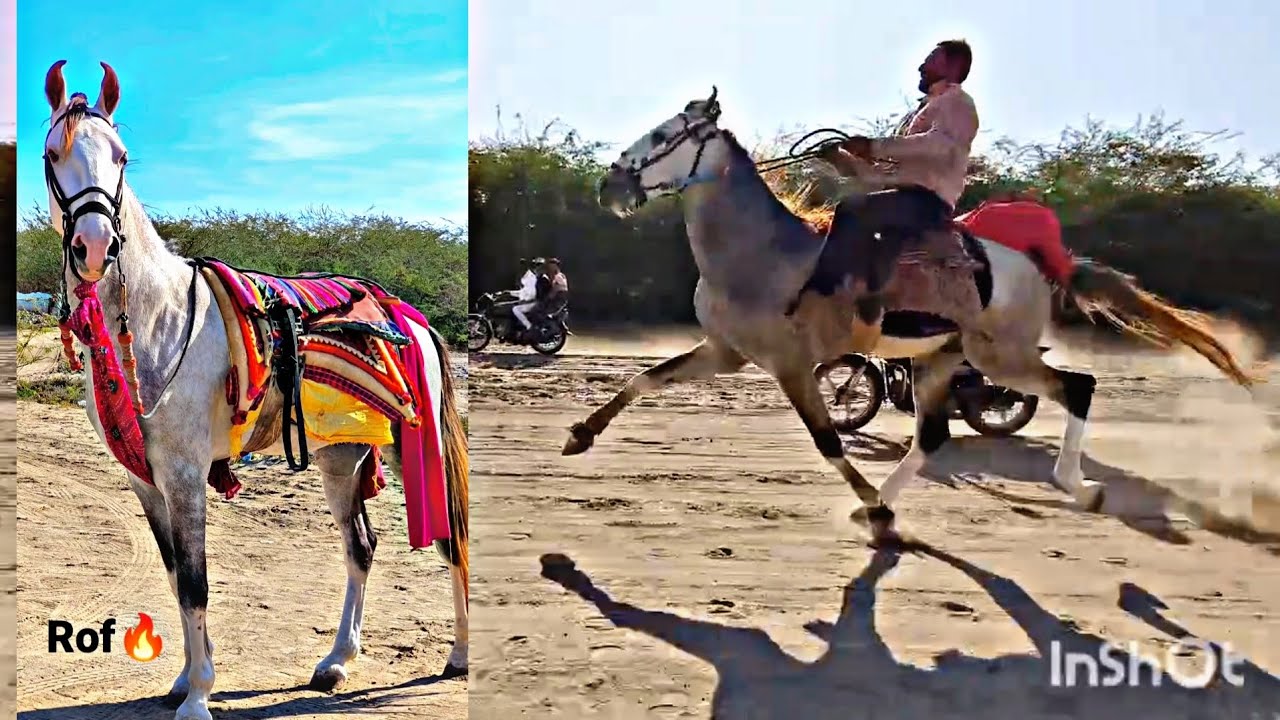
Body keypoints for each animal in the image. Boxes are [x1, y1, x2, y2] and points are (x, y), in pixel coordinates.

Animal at [42, 61, 468, 720]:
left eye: (121, 156)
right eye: (52, 154)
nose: (95, 247)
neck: (158, 320)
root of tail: (410, 315)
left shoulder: (185, 474)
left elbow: (195, 584)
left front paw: (199, 696)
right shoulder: (147, 481)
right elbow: (175, 577)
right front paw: (184, 680)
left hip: (411, 449)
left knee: (450, 540)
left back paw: (461, 655)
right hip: (341, 457)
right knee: (362, 546)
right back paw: (335, 661)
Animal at [571, 87, 1258, 543]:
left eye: (664, 137)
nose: (611, 186)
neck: (765, 254)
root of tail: (1040, 263)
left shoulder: (790, 365)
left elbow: (827, 441)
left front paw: (874, 506)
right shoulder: (727, 352)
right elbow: (644, 379)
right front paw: (580, 435)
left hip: (998, 356)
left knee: (1078, 387)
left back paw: (1076, 486)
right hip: (942, 361)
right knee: (934, 436)